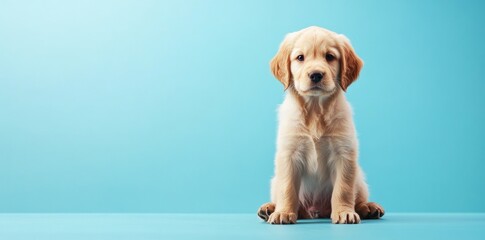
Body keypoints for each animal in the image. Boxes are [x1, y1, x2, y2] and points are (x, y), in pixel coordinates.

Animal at [255, 26, 384, 225]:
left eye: (330, 57)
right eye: (300, 57)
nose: (316, 75)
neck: (315, 109)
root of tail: (315, 211)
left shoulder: (344, 154)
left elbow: (343, 189)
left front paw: (344, 212)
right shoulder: (289, 154)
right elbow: (287, 188)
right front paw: (283, 212)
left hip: (359, 177)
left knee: (358, 197)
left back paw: (368, 207)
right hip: (274, 181)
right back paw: (269, 208)